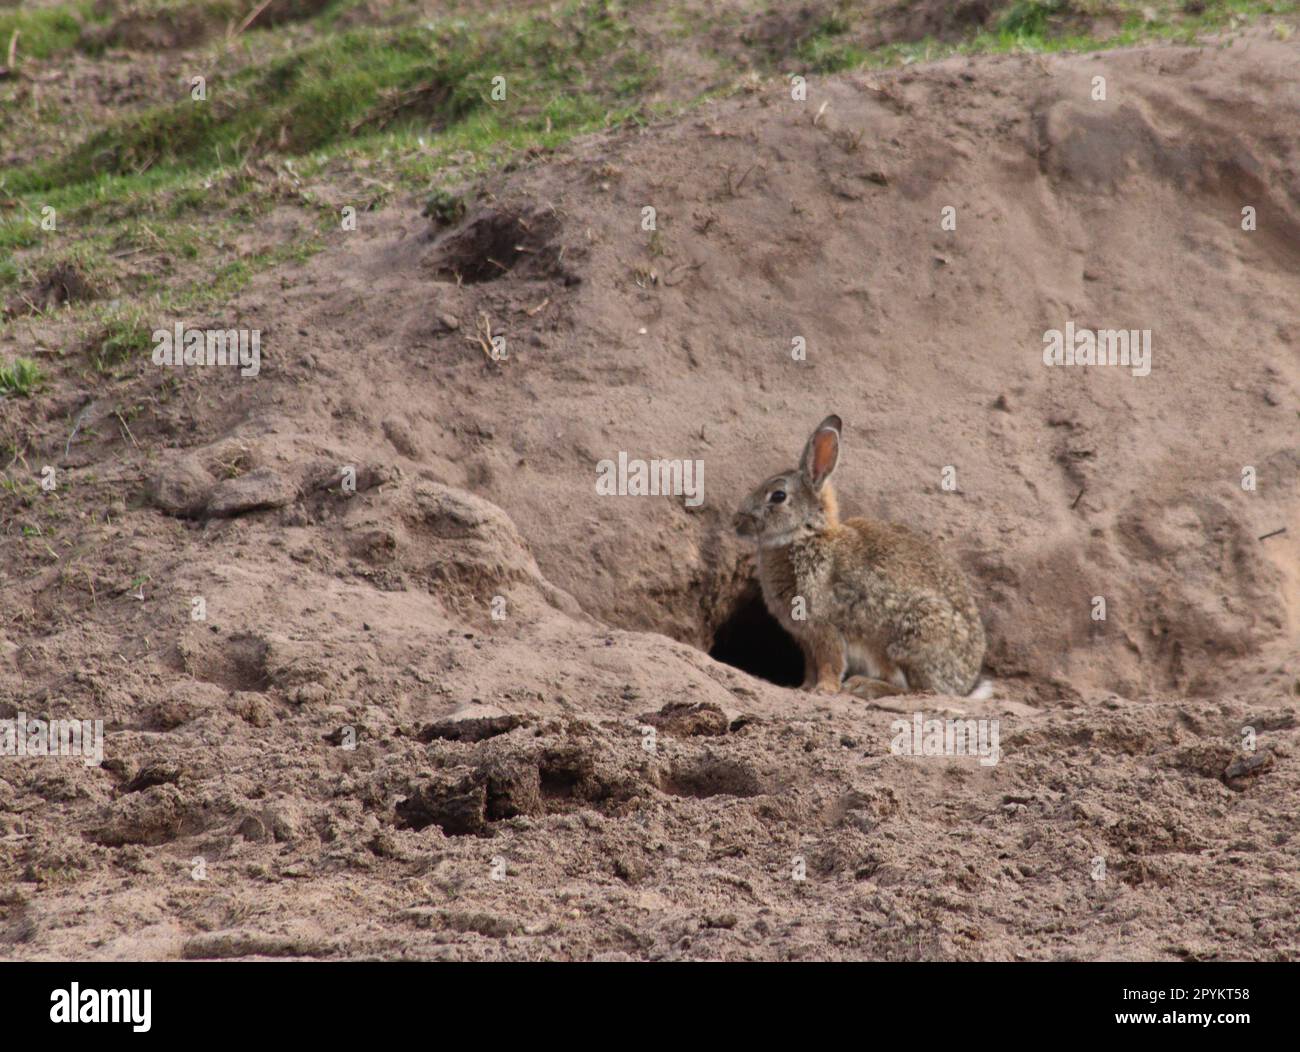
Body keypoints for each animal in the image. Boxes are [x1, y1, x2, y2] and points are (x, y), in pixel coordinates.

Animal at [732, 414, 989, 700]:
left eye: (778, 496)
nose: (737, 521)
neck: (806, 535)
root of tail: (965, 684)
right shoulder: (806, 637)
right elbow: (811, 665)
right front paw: (804, 687)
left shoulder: (824, 626)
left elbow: (831, 661)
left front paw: (824, 689)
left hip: (913, 638)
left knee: (920, 690)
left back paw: (864, 685)